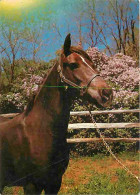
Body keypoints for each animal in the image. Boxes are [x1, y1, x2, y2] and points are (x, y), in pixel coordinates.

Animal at [0, 34, 112, 194]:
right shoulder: (31, 186)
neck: (39, 132)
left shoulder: (54, 183)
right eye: (73, 64)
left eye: (93, 64)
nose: (107, 94)